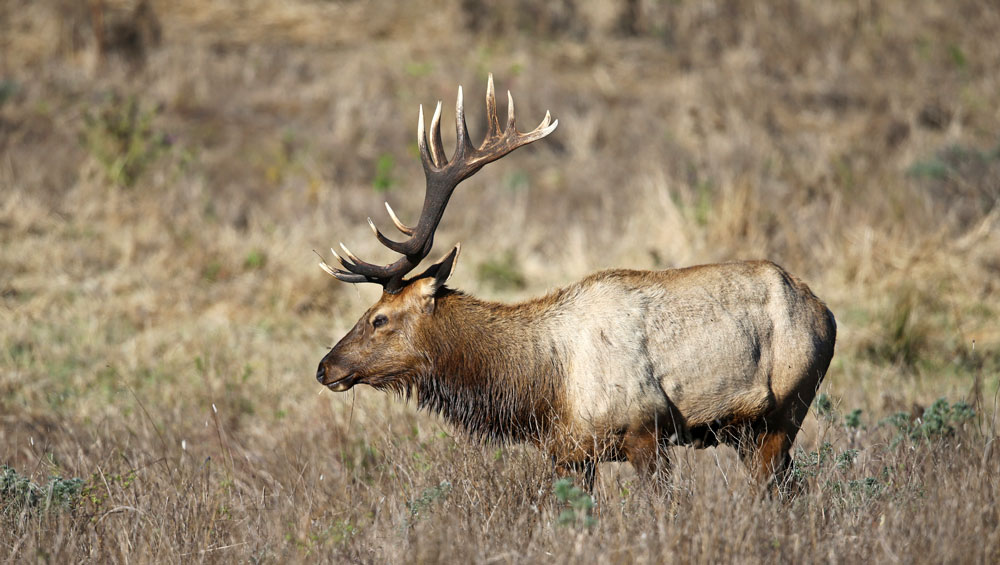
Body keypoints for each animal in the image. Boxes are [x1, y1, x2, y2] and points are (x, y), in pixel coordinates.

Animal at [315, 75, 836, 493]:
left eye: (379, 318)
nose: (325, 367)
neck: (543, 389)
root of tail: (826, 313)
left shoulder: (646, 430)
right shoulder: (569, 452)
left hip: (782, 412)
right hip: (748, 431)